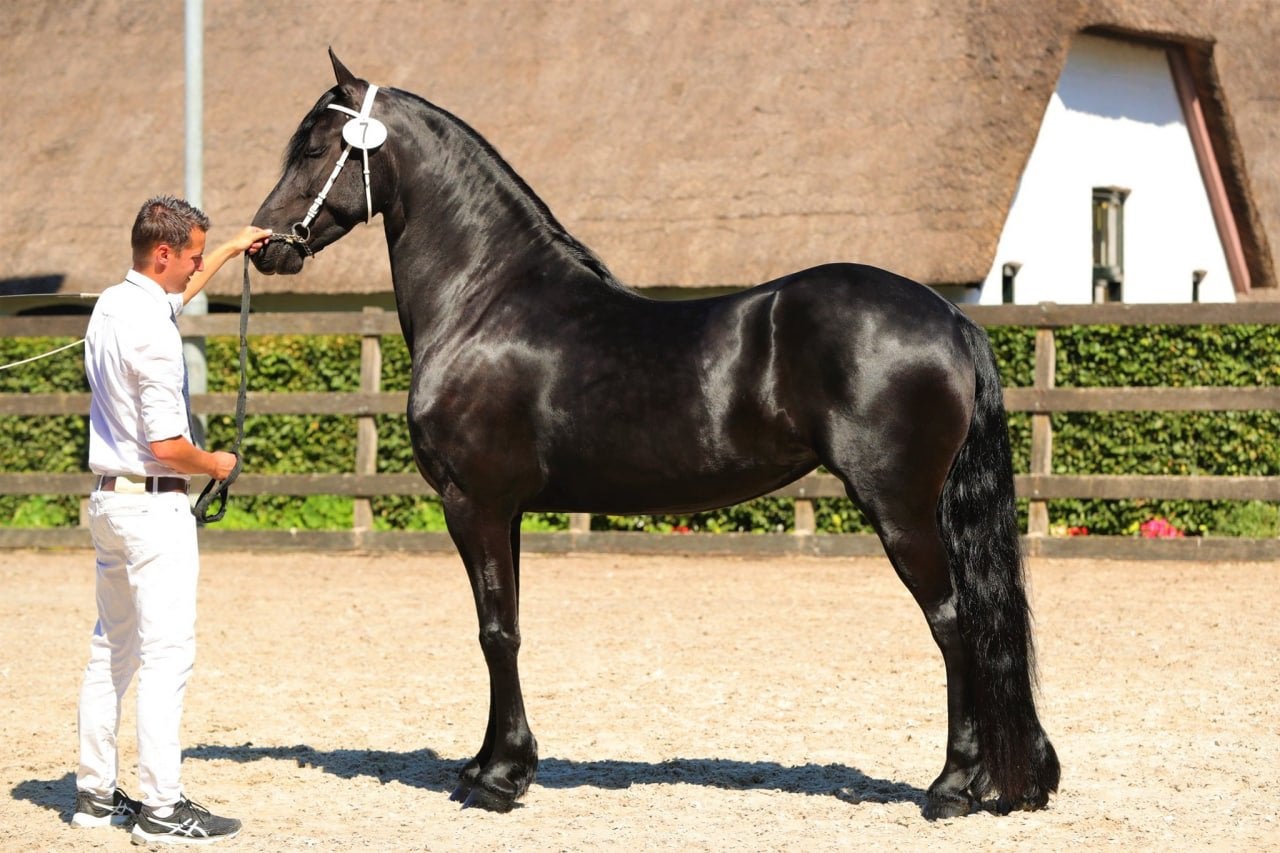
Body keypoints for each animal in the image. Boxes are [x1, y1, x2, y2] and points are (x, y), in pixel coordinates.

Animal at [251, 50, 1059, 819]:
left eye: (316, 147)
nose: (265, 245)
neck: (487, 300)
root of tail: (948, 315)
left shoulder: (471, 501)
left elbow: (495, 632)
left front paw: (501, 779)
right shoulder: (504, 512)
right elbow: (503, 622)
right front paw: (487, 764)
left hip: (899, 507)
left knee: (953, 623)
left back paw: (951, 785)